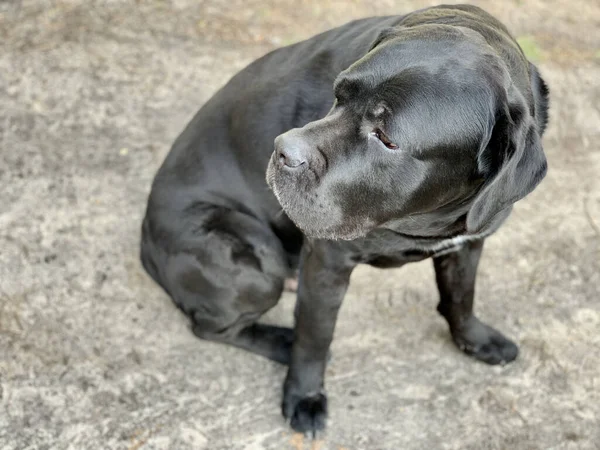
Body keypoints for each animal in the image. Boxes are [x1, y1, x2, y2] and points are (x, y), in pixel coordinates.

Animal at [141, 2, 548, 432]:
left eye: (386, 138)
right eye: (337, 95)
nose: (283, 151)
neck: (426, 218)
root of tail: (144, 242)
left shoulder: (468, 244)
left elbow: (462, 295)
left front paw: (475, 339)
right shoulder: (327, 261)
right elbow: (315, 336)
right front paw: (305, 396)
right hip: (253, 262)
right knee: (210, 327)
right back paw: (281, 342)